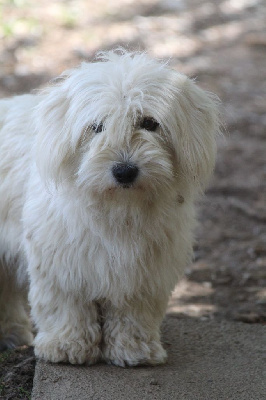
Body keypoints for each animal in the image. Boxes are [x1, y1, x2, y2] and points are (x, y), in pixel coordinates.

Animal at [0, 49, 220, 366]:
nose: (124, 171)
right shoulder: (62, 264)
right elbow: (67, 306)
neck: (119, 209)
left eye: (149, 123)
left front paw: (134, 349)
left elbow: (134, 312)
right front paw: (67, 345)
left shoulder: (144, 270)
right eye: (96, 126)